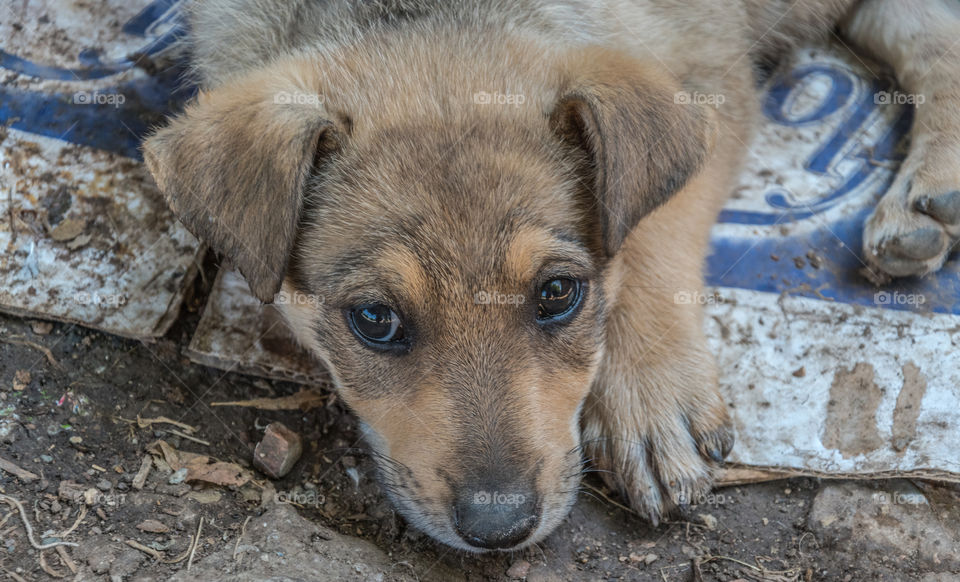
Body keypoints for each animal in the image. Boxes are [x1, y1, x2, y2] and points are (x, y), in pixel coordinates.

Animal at [142, 0, 960, 556]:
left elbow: (649, 231)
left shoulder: (708, 76)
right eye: (374, 320)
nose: (499, 529)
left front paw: (648, 401)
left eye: (558, 294)